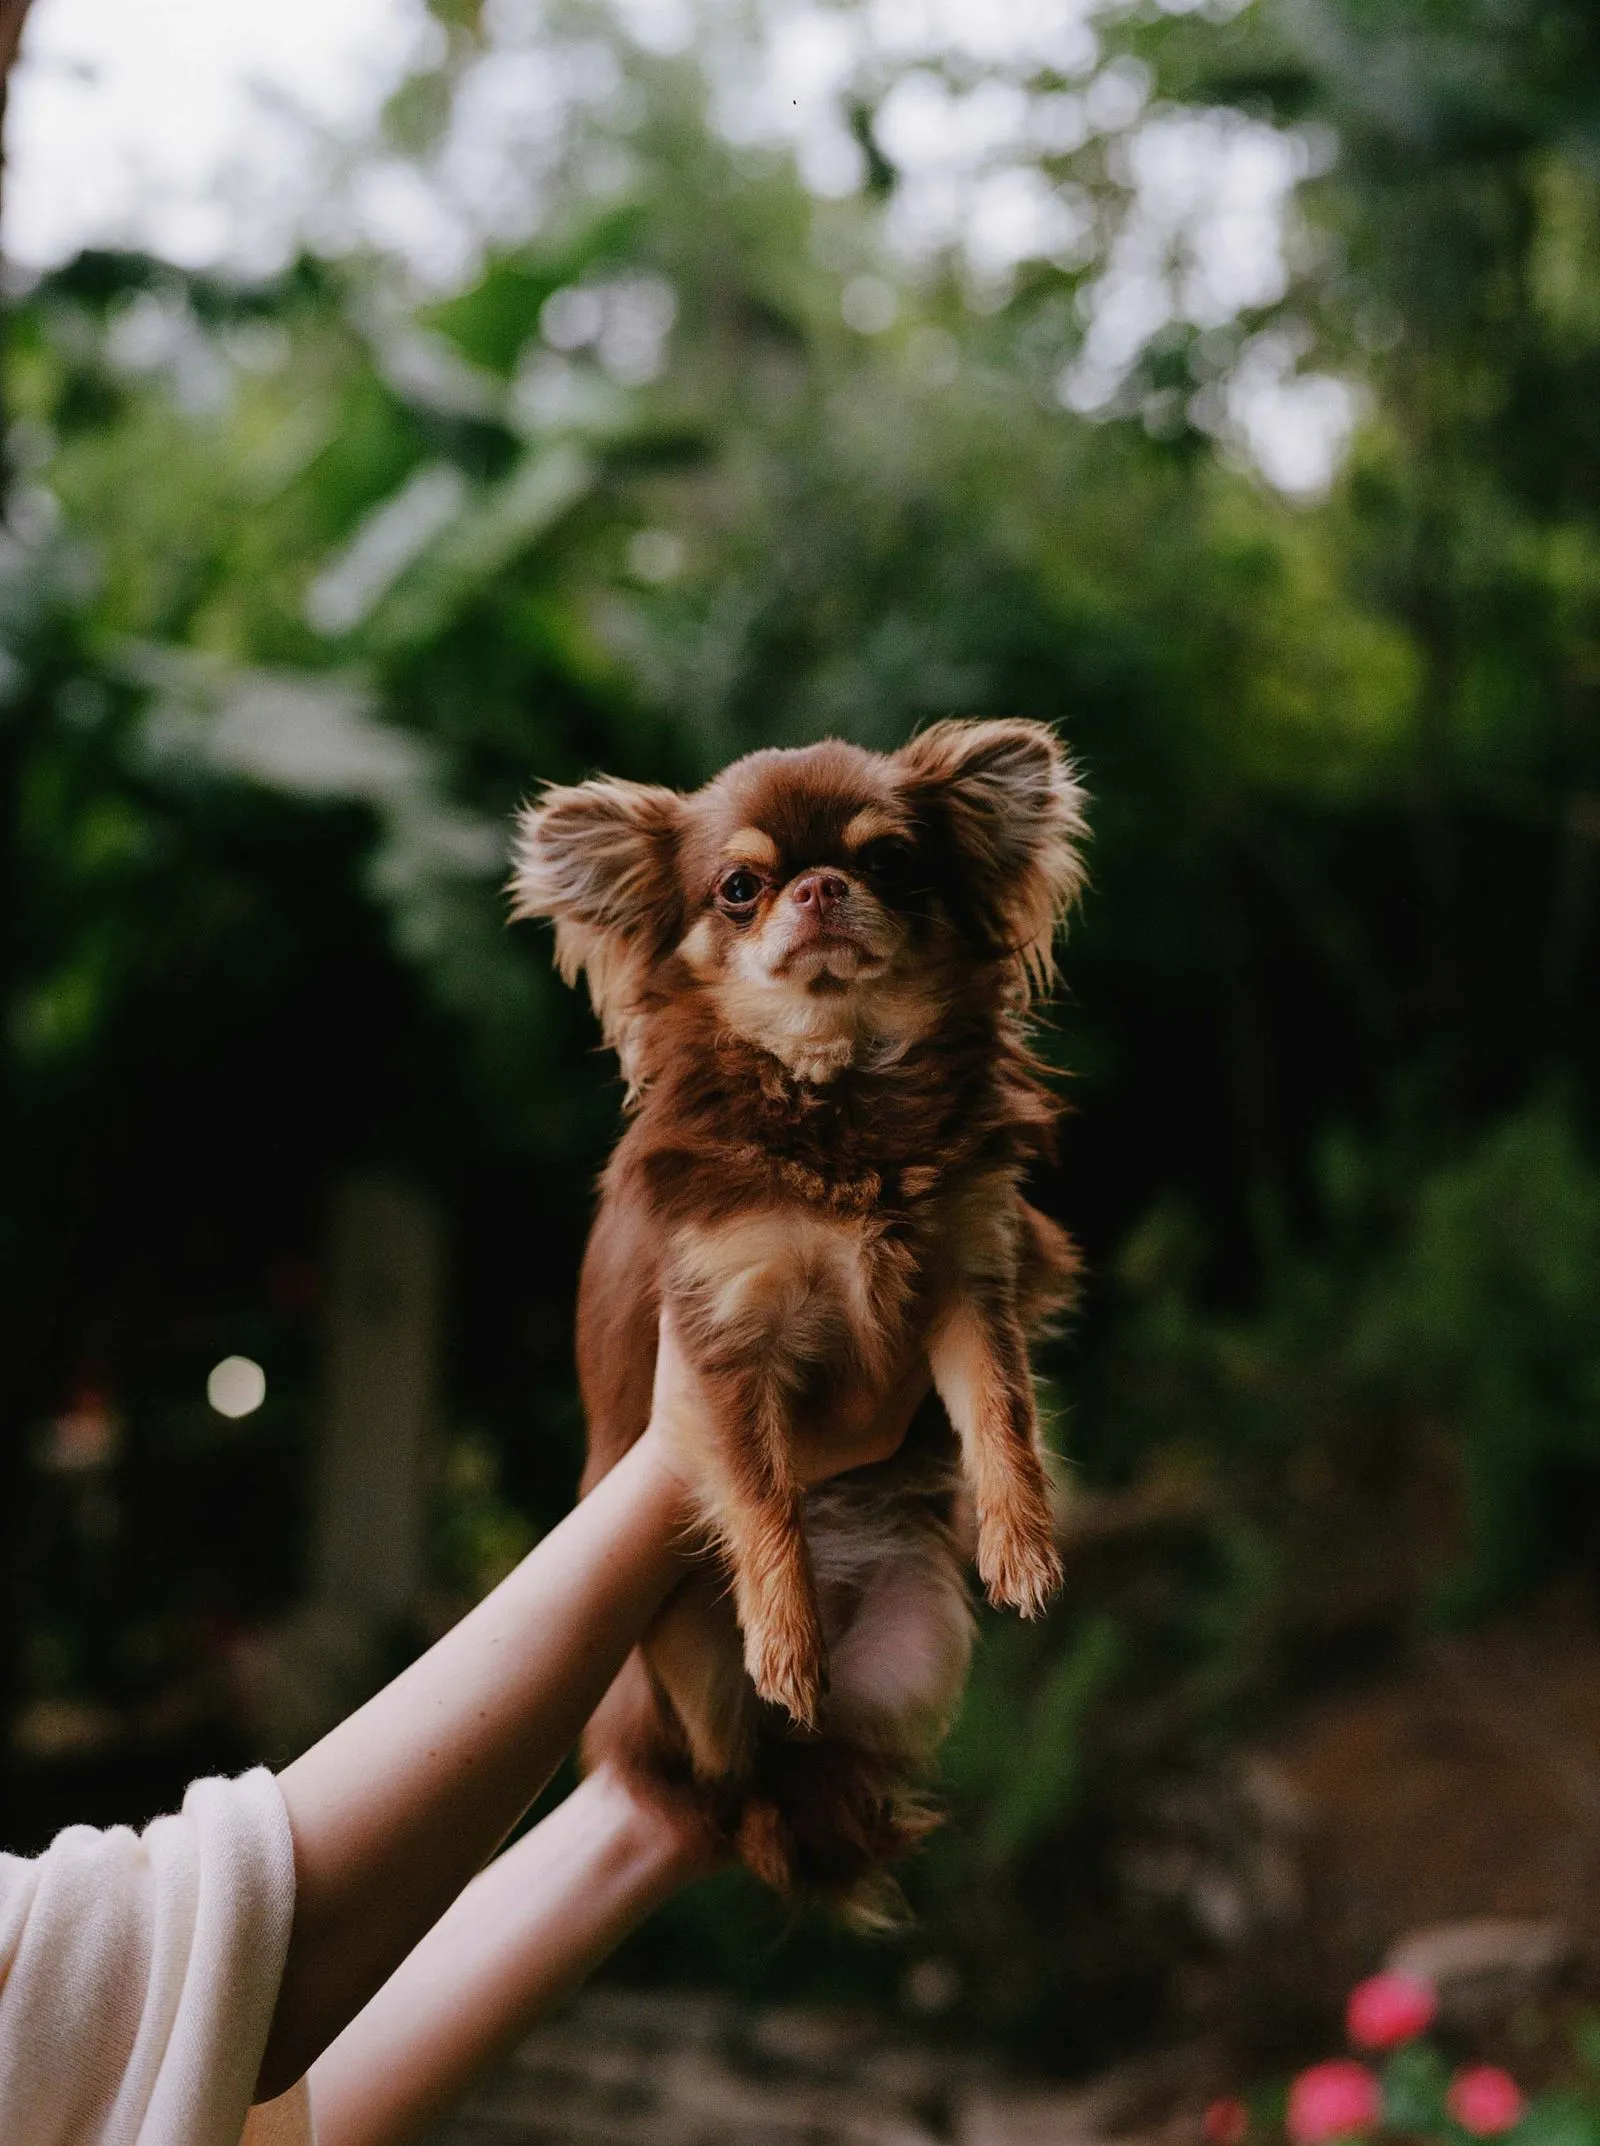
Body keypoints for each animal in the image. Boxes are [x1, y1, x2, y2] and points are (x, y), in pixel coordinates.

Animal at [512, 719, 1087, 1914]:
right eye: (739, 888)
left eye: (889, 861)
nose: (820, 886)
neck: (840, 1083)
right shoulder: (728, 1336)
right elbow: (761, 1487)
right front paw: (783, 1633)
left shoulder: (968, 1284)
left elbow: (1002, 1413)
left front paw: (1020, 1539)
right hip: (671, 1655)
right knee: (725, 1773)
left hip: (921, 1640)